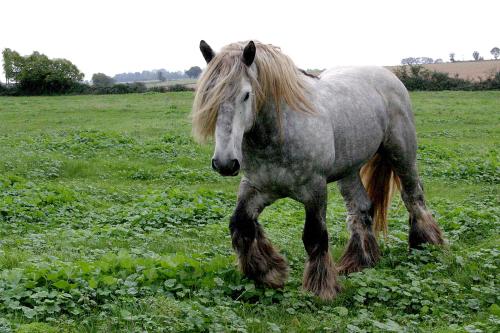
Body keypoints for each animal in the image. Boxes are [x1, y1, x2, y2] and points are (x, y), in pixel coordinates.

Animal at [191, 39, 446, 298]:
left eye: (246, 95)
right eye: (207, 94)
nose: (225, 163)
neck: (279, 133)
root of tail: (389, 75)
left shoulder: (314, 190)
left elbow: (314, 236)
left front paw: (321, 287)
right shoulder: (256, 187)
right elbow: (240, 225)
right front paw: (268, 273)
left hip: (401, 154)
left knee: (413, 196)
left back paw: (425, 246)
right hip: (349, 170)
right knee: (361, 209)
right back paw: (360, 261)